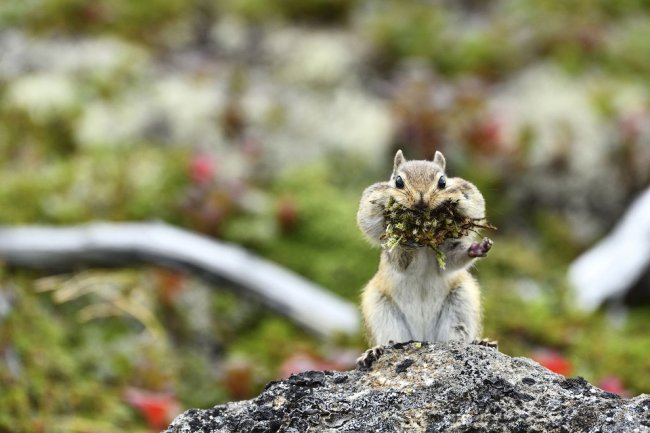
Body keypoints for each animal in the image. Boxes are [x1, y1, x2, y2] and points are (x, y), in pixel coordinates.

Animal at [354, 150, 492, 366]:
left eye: (443, 181)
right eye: (398, 181)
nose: (421, 200)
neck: (425, 246)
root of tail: (423, 338)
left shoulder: (445, 252)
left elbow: (453, 258)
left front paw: (478, 247)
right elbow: (401, 261)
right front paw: (406, 240)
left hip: (461, 301)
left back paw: (480, 342)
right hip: (380, 310)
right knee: (390, 340)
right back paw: (374, 352)